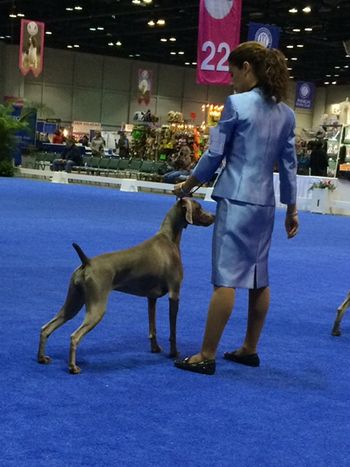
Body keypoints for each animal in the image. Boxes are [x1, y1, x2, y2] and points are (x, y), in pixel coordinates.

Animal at [37, 197, 215, 372]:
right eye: (199, 208)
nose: (213, 216)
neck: (169, 238)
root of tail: (87, 262)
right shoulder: (174, 294)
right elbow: (173, 330)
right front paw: (174, 353)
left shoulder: (151, 298)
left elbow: (152, 328)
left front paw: (155, 348)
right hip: (96, 307)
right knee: (75, 336)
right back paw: (73, 366)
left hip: (73, 302)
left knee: (46, 328)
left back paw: (42, 358)